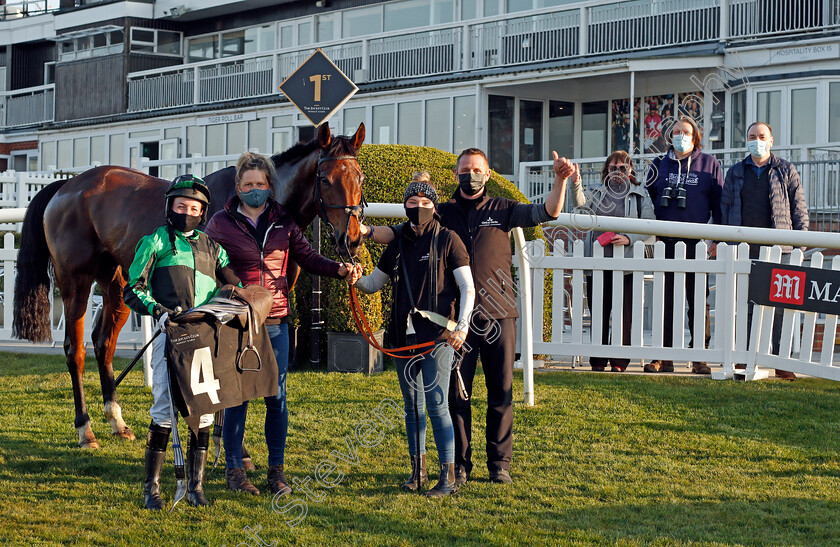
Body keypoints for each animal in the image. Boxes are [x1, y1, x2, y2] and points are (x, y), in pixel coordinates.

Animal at [10, 122, 364, 448]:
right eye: (324, 179)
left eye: (359, 177)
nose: (352, 239)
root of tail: (67, 185)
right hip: (75, 282)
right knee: (75, 349)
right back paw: (85, 430)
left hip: (118, 284)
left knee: (103, 343)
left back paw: (117, 421)